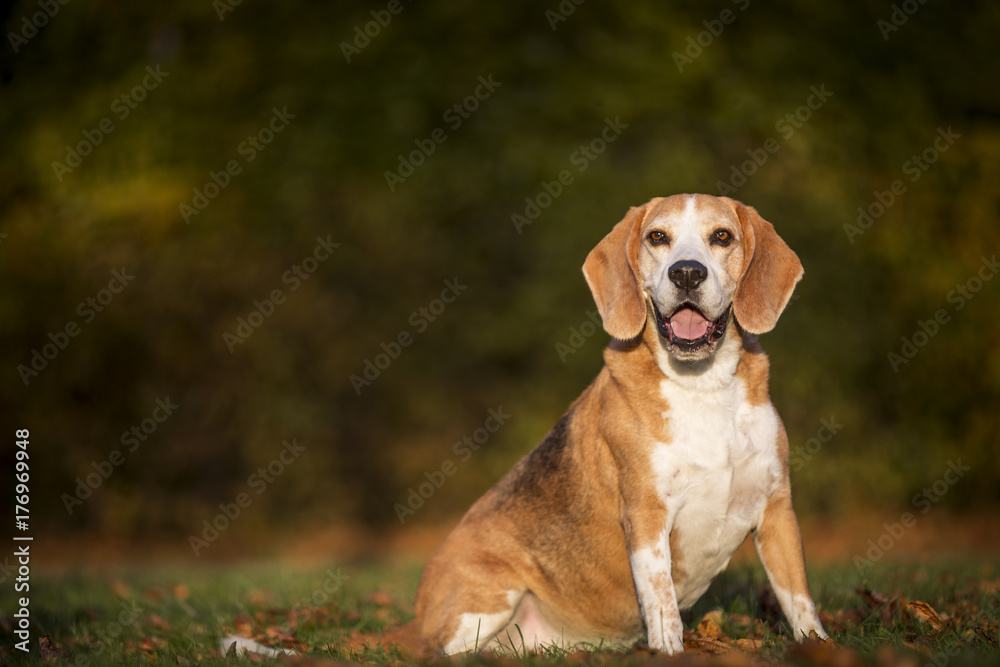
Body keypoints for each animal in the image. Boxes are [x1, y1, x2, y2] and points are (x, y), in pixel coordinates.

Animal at [402, 193, 824, 656]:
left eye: (722, 236)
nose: (687, 273)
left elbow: (800, 601)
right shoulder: (646, 516)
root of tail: (416, 617)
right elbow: (662, 603)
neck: (702, 386)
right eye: (657, 237)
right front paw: (668, 654)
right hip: (491, 594)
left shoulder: (777, 509)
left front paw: (820, 645)